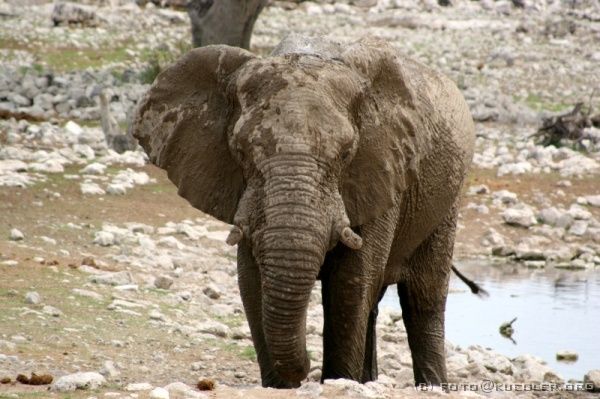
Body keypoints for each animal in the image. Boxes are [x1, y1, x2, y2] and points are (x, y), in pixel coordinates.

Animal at [131, 36, 474, 390]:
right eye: (240, 150)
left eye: (346, 153)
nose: (306, 367)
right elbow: (251, 281)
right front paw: (280, 385)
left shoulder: (383, 167)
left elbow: (351, 282)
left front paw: (337, 380)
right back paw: (368, 381)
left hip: (445, 202)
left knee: (423, 299)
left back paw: (433, 386)